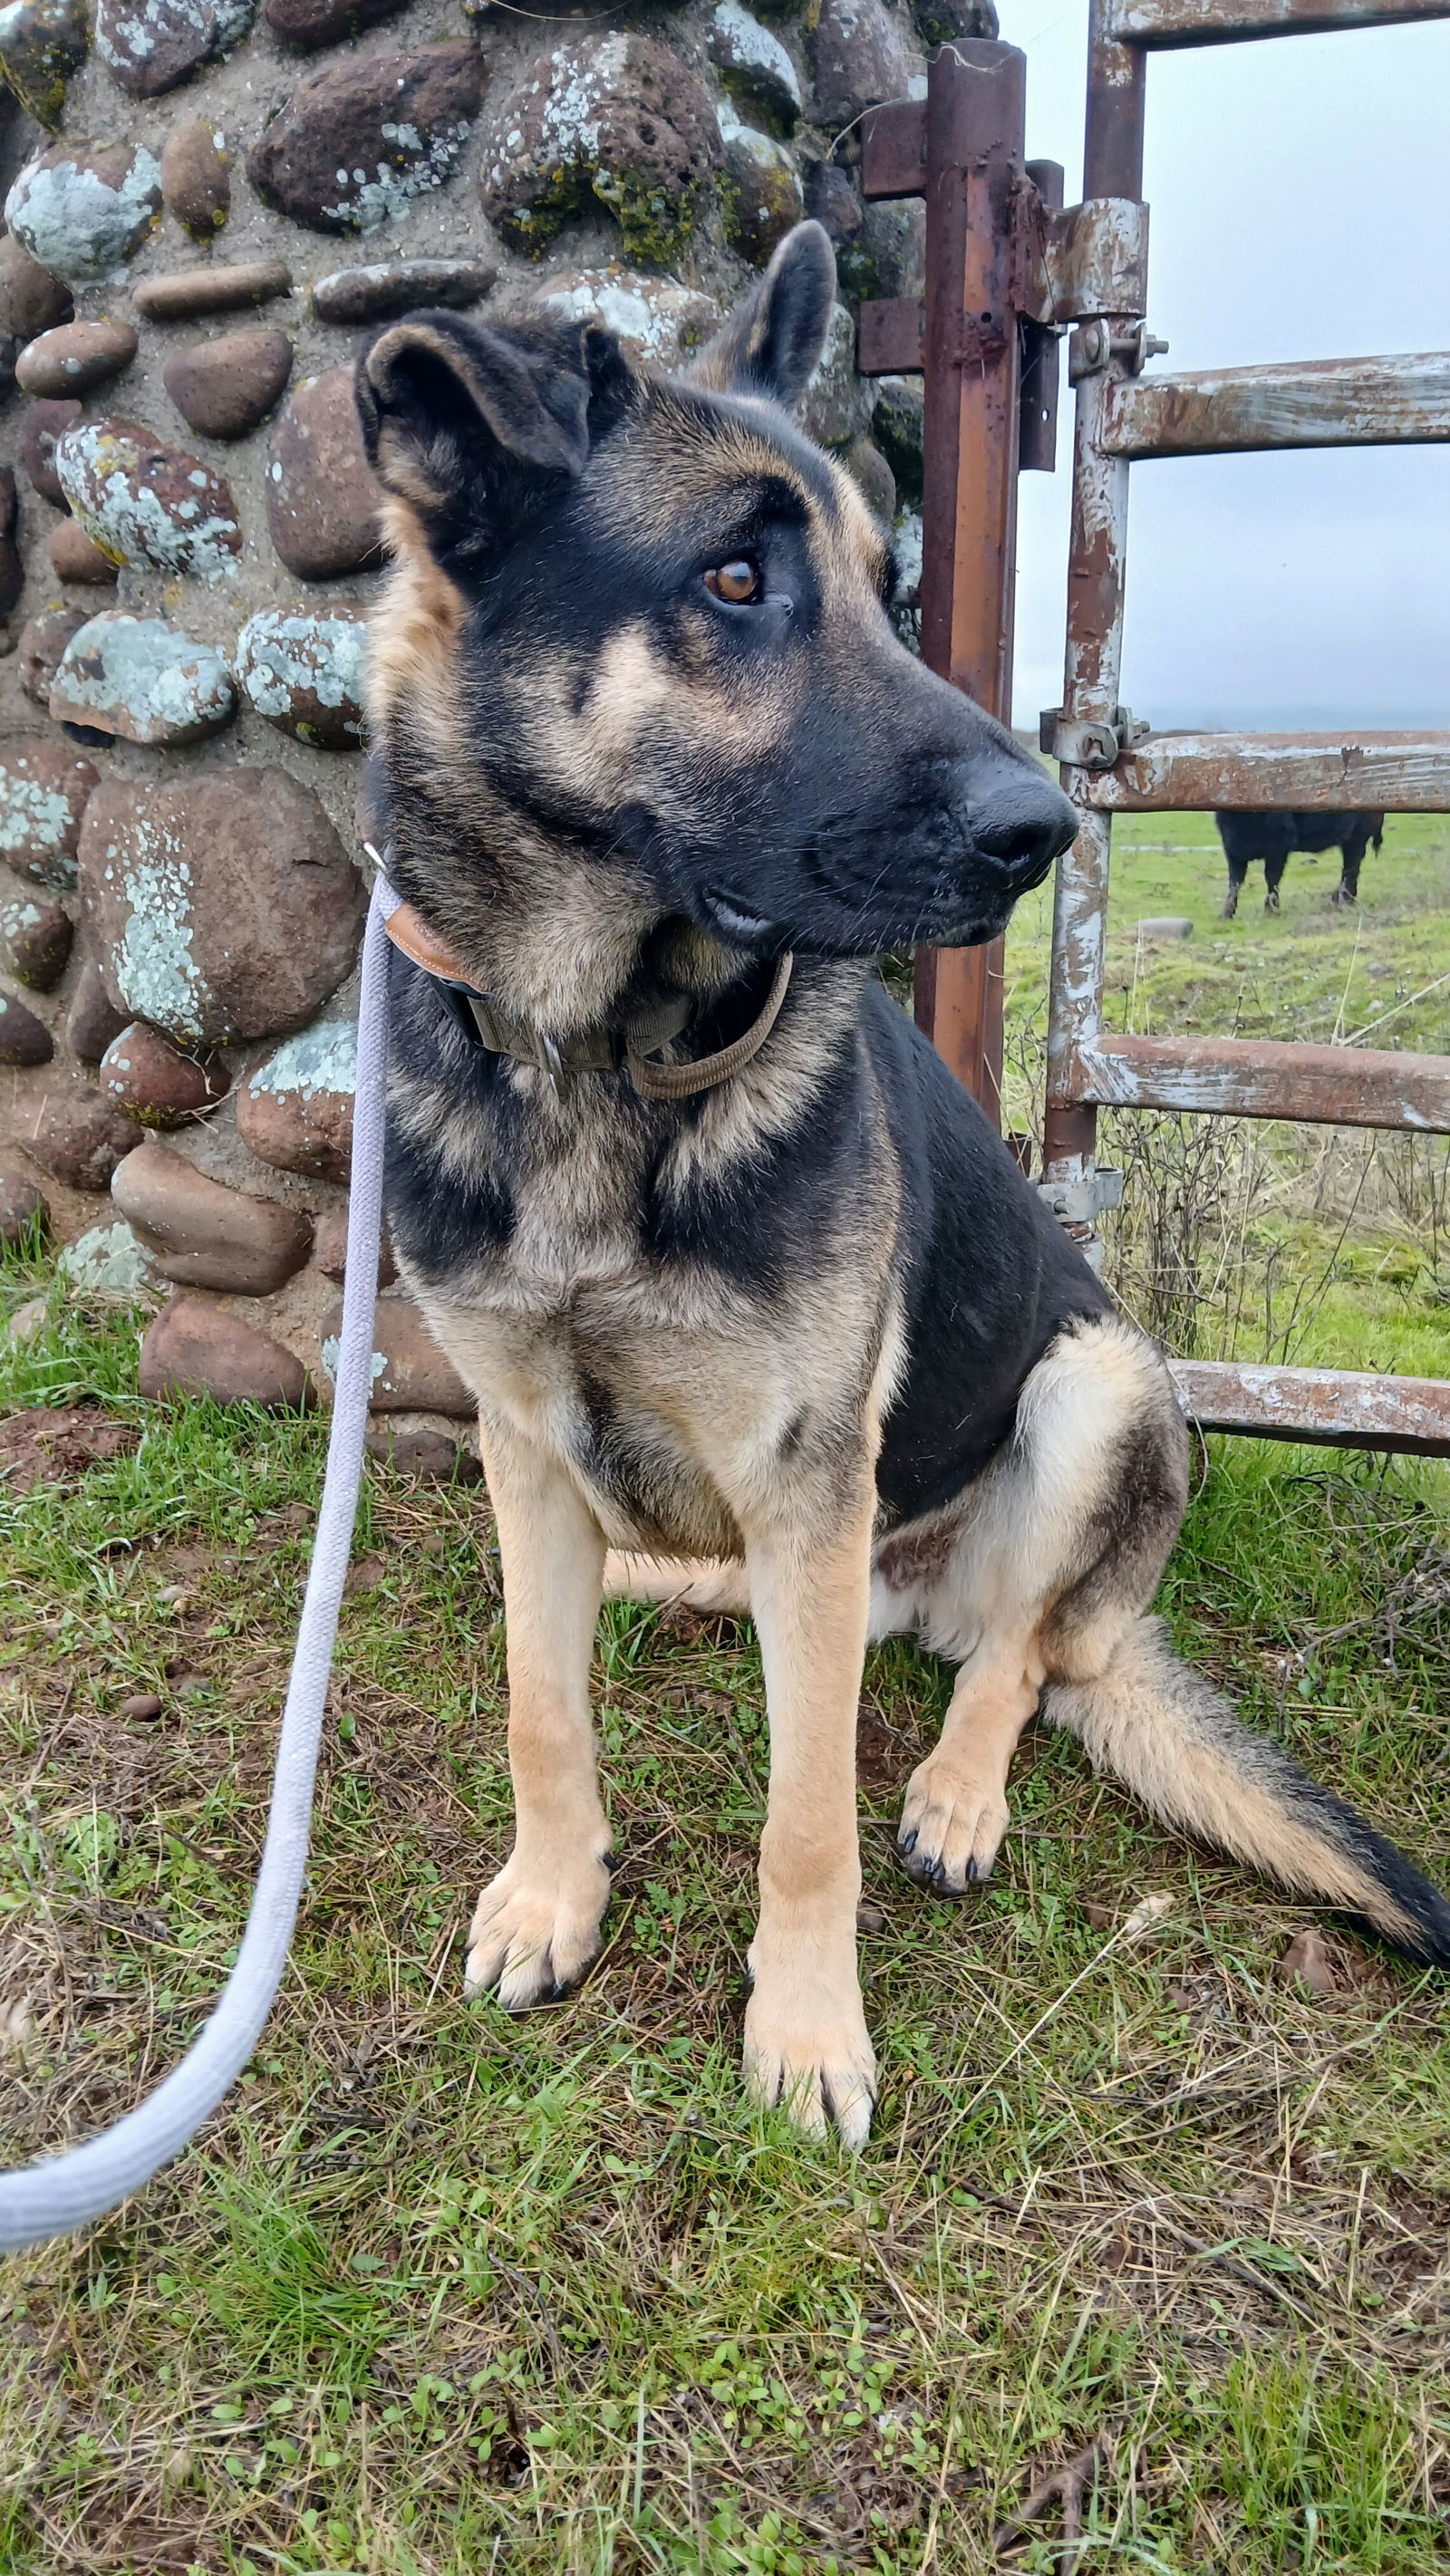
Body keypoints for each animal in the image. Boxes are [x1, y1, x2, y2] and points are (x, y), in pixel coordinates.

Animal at [1215, 819, 1380, 921]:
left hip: (1358, 835)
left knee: (1351, 868)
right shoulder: (1232, 849)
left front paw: (1271, 909)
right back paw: (1344, 898)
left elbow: (1272, 878)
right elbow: (1235, 882)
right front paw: (1226, 913)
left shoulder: (1278, 847)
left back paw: (1343, 899)